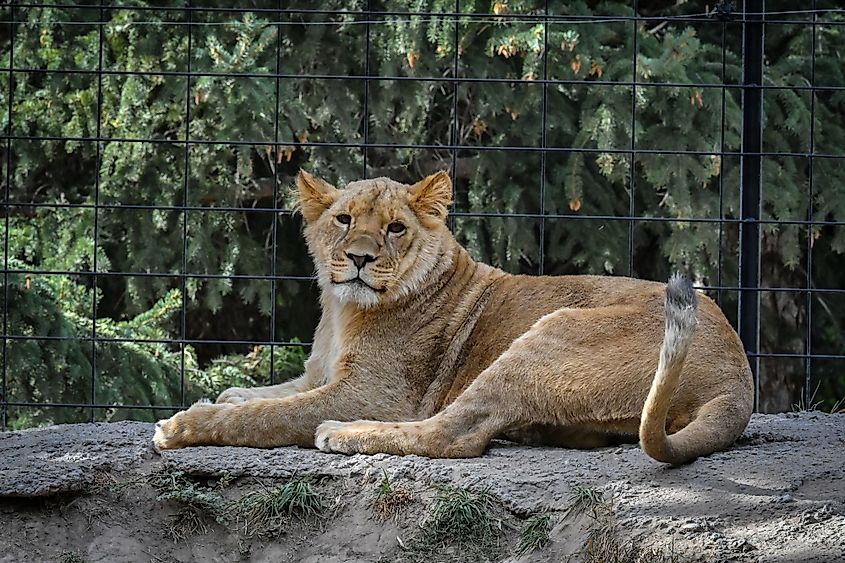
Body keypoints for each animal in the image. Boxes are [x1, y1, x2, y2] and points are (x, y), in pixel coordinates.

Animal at [155, 170, 756, 464]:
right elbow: (265, 395)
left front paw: (185, 423)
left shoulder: (373, 393)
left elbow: (268, 416)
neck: (342, 310)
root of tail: (738, 379)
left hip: (554, 331)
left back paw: (344, 434)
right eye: (344, 220)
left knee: (455, 434)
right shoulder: (317, 375)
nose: (360, 258)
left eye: (395, 228)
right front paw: (223, 397)